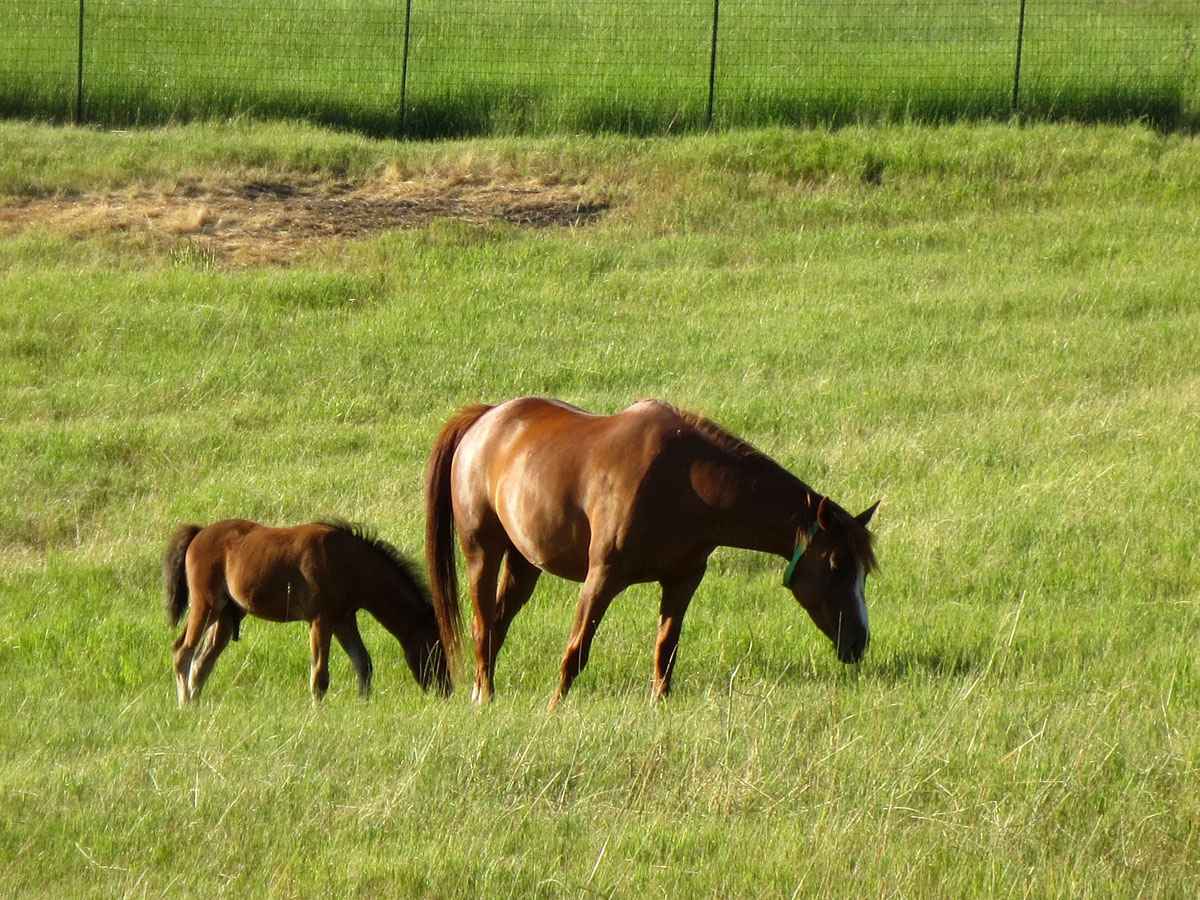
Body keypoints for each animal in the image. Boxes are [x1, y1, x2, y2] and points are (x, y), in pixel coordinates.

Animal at [163, 518, 450, 705]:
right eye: (436, 648)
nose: (446, 690)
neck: (350, 562)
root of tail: (199, 533)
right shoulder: (320, 620)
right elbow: (320, 675)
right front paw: (317, 712)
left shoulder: (344, 619)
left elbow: (363, 662)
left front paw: (363, 706)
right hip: (206, 606)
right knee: (182, 652)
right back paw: (185, 705)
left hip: (224, 617)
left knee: (202, 662)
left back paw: (195, 703)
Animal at [425, 397, 879, 709]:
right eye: (837, 564)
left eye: (864, 571)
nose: (859, 641)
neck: (687, 480)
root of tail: (486, 418)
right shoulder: (602, 577)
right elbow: (576, 652)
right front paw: (555, 708)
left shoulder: (683, 580)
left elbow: (666, 649)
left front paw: (658, 704)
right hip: (482, 551)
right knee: (483, 626)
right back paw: (484, 696)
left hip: (525, 563)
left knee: (498, 626)